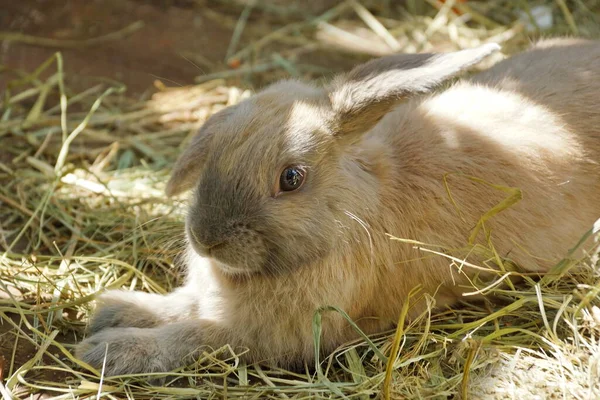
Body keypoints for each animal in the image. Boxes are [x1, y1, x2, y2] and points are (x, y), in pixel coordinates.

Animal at [76, 38, 600, 378]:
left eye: (291, 178)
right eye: (217, 148)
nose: (206, 239)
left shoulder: (267, 335)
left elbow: (195, 335)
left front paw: (107, 350)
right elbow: (182, 304)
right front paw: (116, 311)